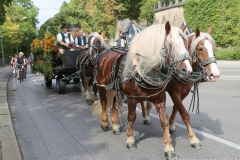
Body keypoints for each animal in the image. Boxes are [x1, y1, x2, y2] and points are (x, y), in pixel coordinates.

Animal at [95, 21, 193, 159]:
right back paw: (104, 123)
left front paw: (169, 147)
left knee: (115, 104)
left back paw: (115, 125)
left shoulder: (160, 99)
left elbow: (164, 120)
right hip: (102, 86)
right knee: (104, 102)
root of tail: (105, 52)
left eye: (185, 43)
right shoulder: (131, 98)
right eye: (170, 45)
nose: (188, 70)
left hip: (117, 89)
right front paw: (130, 140)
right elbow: (131, 117)